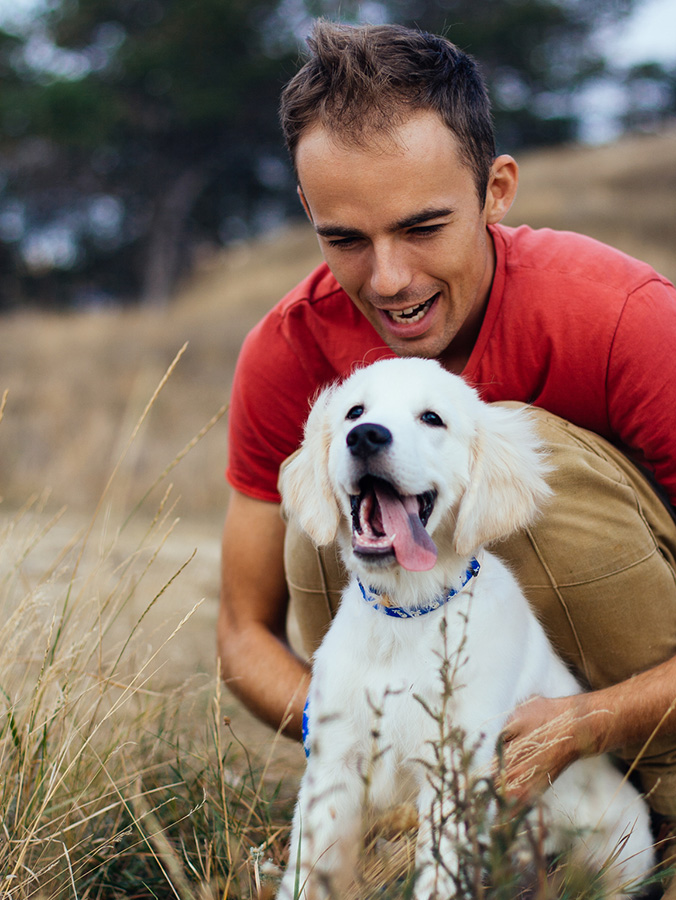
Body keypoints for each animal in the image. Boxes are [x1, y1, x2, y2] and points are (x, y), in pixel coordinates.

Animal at [276, 356, 656, 896]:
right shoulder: (334, 760)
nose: (365, 436)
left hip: (622, 852)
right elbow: (306, 868)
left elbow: (439, 874)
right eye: (355, 412)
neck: (407, 615)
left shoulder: (455, 767)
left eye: (432, 419)